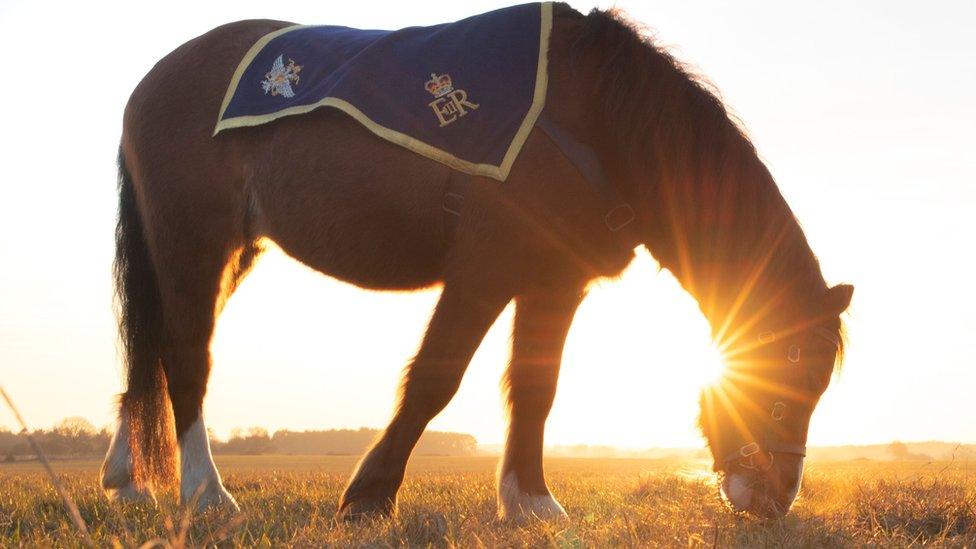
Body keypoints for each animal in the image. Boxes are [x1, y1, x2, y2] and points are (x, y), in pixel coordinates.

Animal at [97, 4, 848, 520]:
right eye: (784, 371)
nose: (774, 498)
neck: (591, 117)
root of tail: (152, 81)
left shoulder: (557, 282)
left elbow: (537, 386)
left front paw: (532, 501)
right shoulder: (483, 270)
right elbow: (436, 377)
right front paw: (370, 496)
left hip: (220, 252)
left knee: (151, 352)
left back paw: (129, 480)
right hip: (193, 240)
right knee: (185, 358)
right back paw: (206, 493)